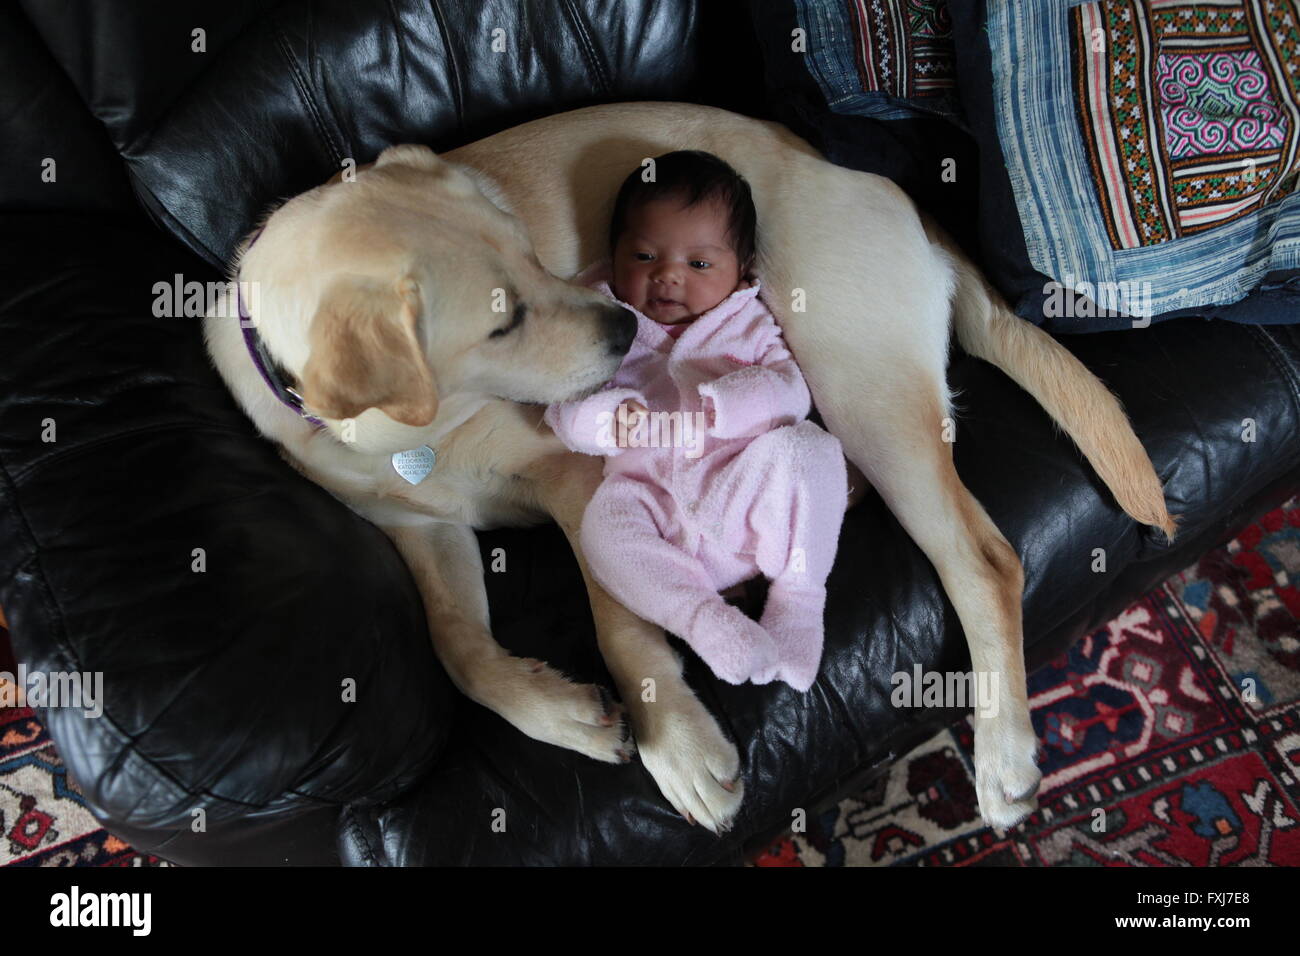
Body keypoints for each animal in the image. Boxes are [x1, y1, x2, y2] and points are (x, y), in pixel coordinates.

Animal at [200, 104, 1180, 832]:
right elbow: (459, 651)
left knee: (983, 559)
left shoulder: (574, 477)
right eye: (503, 319)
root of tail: (880, 186)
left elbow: (619, 628)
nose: (625, 326)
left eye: (530, 250)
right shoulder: (422, 530)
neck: (407, 431)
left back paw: (1004, 754)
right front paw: (560, 711)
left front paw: (674, 744)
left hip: (859, 386)